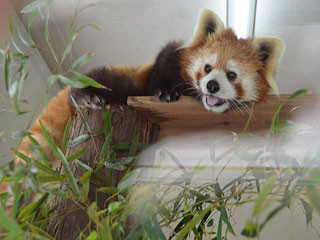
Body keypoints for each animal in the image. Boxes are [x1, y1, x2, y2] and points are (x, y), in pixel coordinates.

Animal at [1, 8, 282, 188]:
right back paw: (84, 95)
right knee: (102, 80)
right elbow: (162, 66)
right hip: (123, 81)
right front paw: (166, 92)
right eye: (207, 68)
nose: (212, 86)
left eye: (232, 75)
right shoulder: (168, 60)